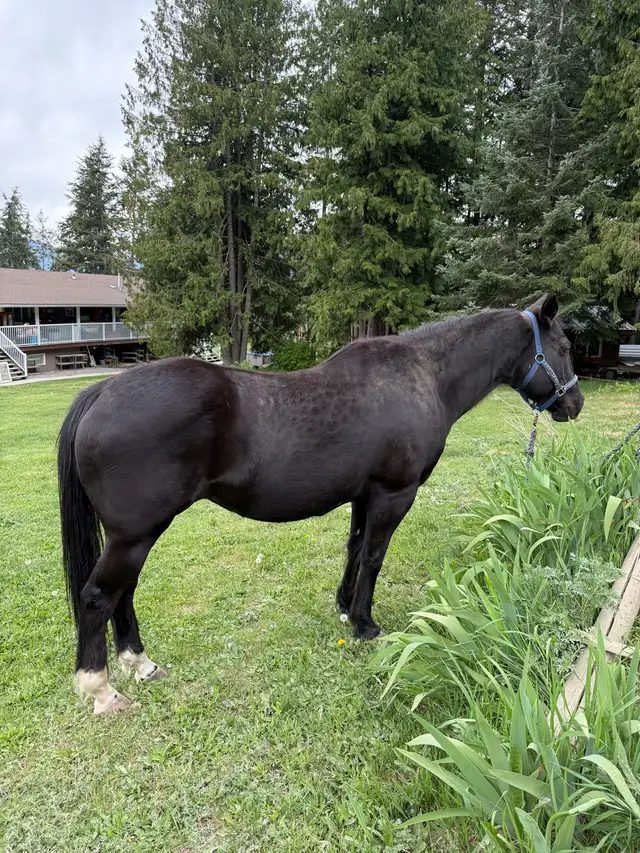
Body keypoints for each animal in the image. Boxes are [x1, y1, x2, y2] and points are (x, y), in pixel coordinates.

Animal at [58, 294, 583, 713]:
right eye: (564, 346)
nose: (574, 403)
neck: (424, 376)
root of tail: (105, 389)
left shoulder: (365, 495)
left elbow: (354, 549)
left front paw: (345, 607)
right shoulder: (395, 493)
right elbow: (374, 555)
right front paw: (366, 625)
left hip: (135, 535)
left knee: (123, 593)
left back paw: (140, 663)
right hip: (135, 534)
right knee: (99, 596)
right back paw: (101, 689)